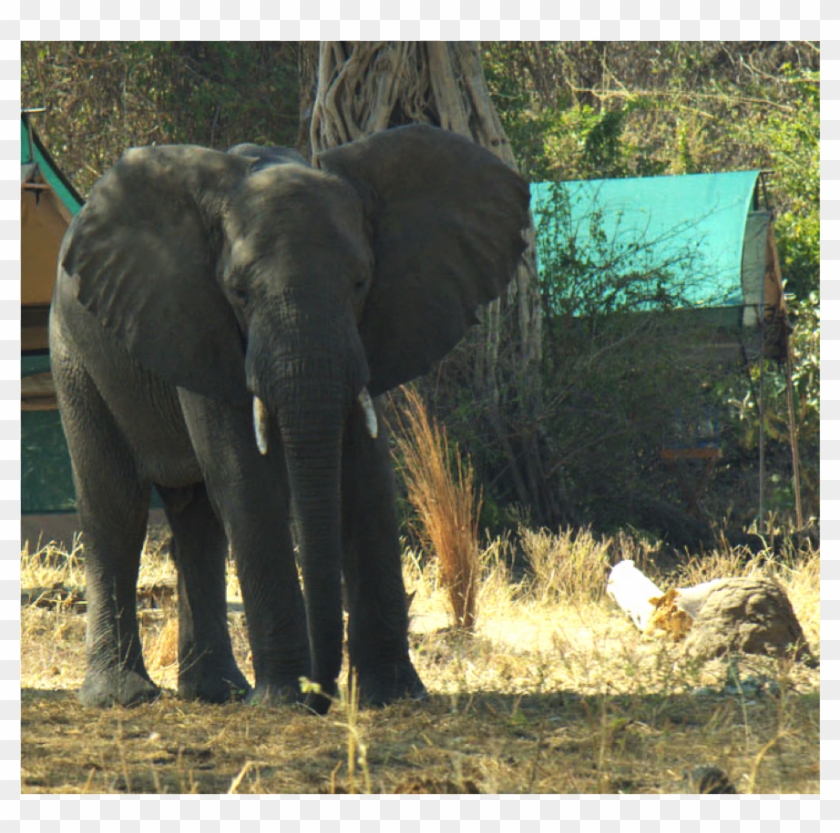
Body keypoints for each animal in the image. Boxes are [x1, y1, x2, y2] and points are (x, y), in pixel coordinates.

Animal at [49, 124, 530, 713]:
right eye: (238, 292)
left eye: (361, 282)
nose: (324, 695)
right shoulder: (200, 324)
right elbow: (245, 479)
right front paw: (282, 702)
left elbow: (367, 475)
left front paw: (394, 697)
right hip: (74, 354)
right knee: (116, 506)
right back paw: (123, 697)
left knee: (199, 521)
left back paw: (217, 693)